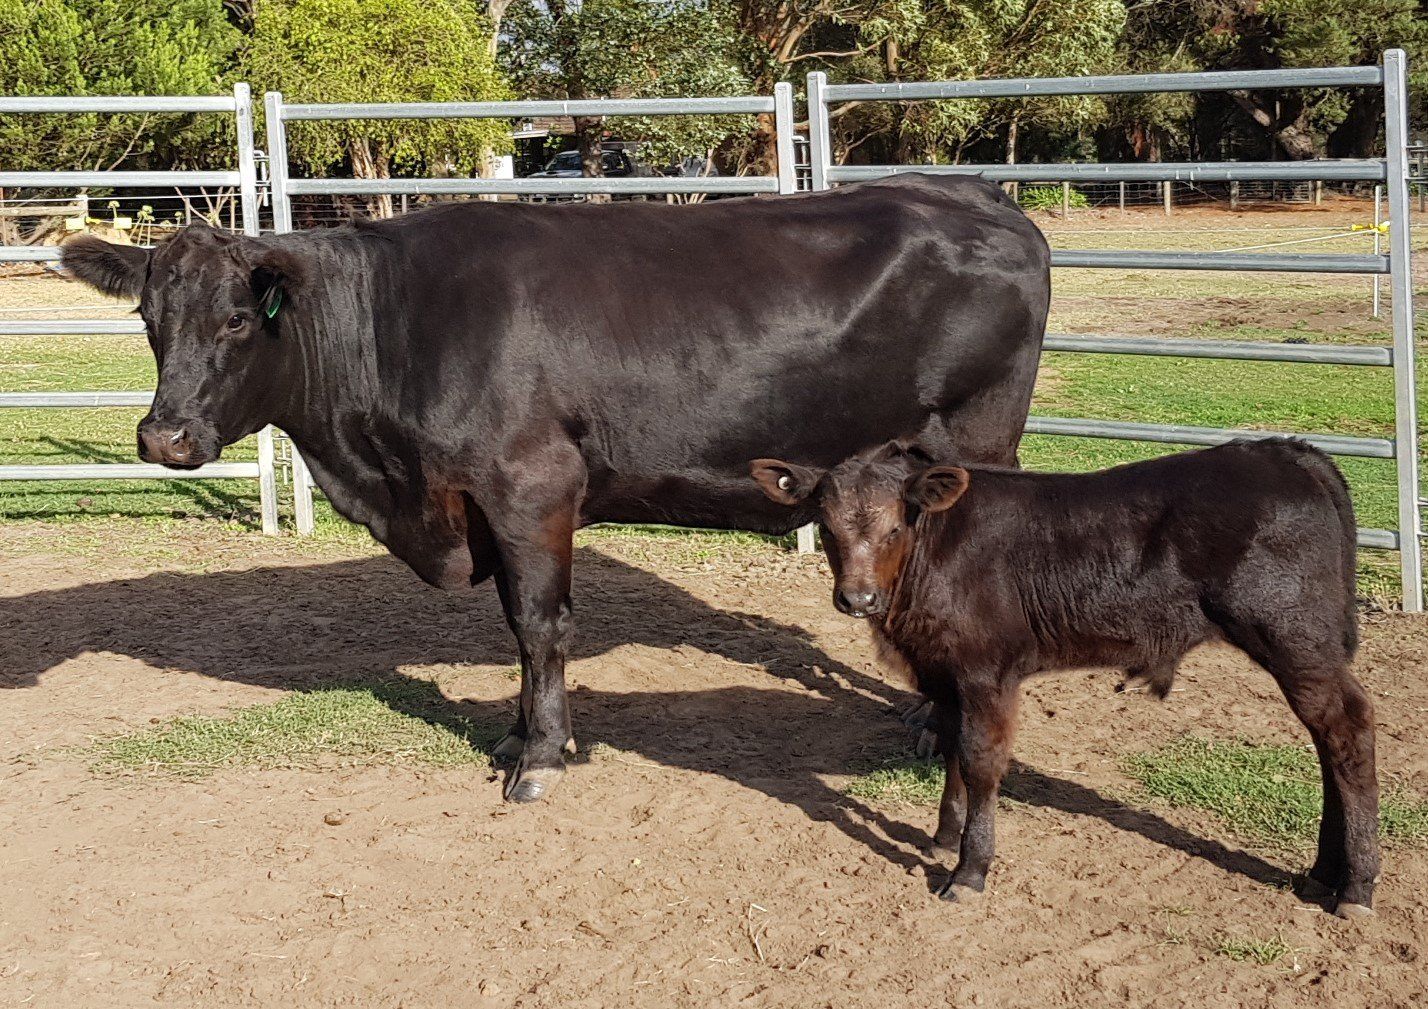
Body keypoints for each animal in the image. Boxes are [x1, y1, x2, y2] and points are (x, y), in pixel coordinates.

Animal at [60, 174, 1050, 804]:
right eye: (148, 316)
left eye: (236, 319)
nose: (164, 436)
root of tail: (976, 193)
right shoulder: (487, 508)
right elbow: (515, 623)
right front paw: (517, 731)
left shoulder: (530, 487)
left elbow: (540, 625)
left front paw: (539, 755)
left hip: (972, 438)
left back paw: (937, 724)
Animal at [750, 439, 1378, 917]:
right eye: (827, 526)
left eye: (895, 527)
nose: (857, 599)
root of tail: (1289, 451)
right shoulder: (946, 674)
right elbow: (951, 747)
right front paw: (944, 839)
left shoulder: (986, 673)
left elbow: (981, 762)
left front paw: (970, 871)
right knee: (1326, 743)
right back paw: (1324, 873)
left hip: (1295, 638)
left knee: (1348, 730)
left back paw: (1356, 886)